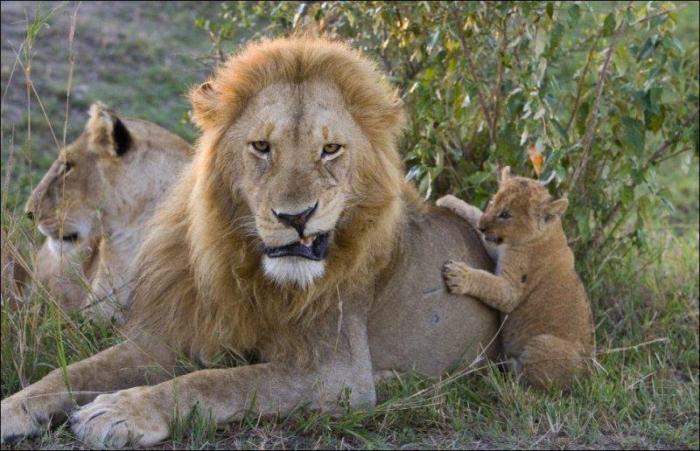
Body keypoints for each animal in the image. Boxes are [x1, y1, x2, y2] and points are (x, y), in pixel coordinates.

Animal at [0, 36, 498, 448]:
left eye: (330, 150)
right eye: (261, 146)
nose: (295, 217)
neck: (248, 269)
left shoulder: (339, 374)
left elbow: (218, 381)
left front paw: (122, 410)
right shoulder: (169, 337)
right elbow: (68, 373)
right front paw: (12, 408)